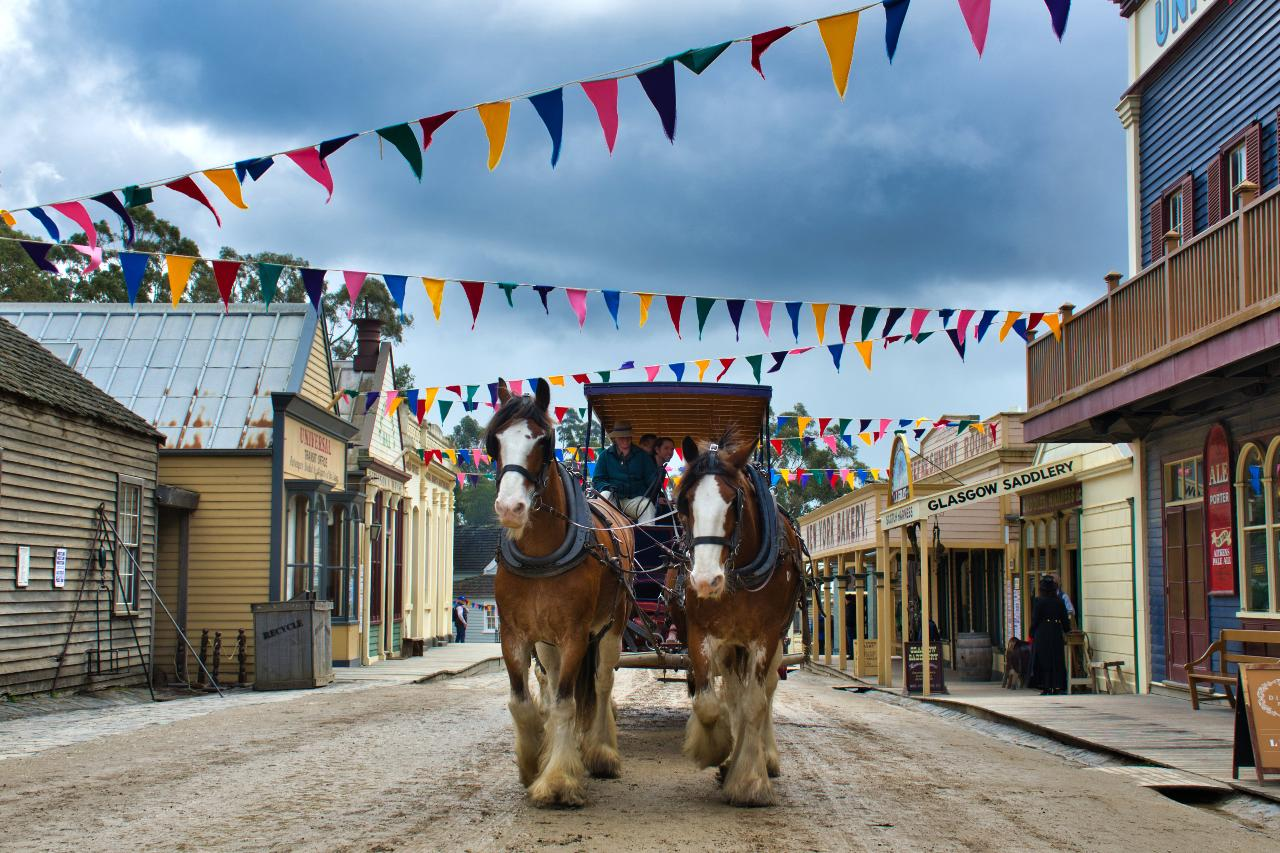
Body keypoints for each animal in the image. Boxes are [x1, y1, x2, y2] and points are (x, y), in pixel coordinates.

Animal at [486, 379, 632, 804]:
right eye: (495, 441)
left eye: (544, 441)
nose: (511, 508)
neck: (542, 555)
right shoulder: (515, 634)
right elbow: (523, 701)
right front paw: (533, 760)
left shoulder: (575, 636)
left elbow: (568, 702)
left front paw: (558, 780)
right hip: (547, 640)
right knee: (551, 685)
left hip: (612, 628)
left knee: (602, 683)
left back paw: (601, 751)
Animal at [675, 432, 793, 804]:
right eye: (685, 503)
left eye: (733, 502)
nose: (704, 581)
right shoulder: (700, 632)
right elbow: (710, 703)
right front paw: (716, 750)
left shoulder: (766, 636)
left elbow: (755, 704)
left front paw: (749, 782)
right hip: (730, 646)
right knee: (733, 694)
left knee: (764, 693)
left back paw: (764, 757)